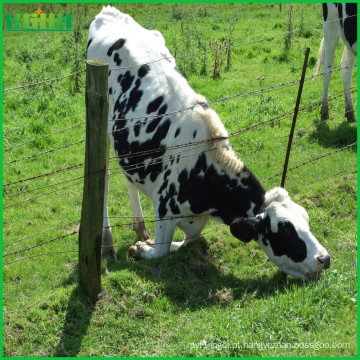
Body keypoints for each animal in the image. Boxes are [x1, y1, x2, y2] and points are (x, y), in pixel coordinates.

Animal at [86, 6, 330, 282]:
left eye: (306, 219)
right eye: (285, 231)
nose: (324, 258)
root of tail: (109, 11)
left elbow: (191, 239)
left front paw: (147, 242)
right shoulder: (164, 209)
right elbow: (161, 252)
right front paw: (140, 249)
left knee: (129, 178)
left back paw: (139, 227)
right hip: (102, 127)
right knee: (103, 177)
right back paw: (108, 243)